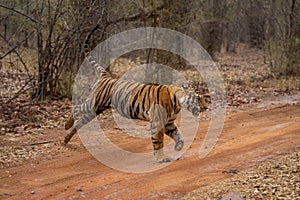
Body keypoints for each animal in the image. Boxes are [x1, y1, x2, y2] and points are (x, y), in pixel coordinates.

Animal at [64, 57, 207, 163]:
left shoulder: (168, 123)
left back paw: (66, 139)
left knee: (80, 122)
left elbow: (178, 134)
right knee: (77, 108)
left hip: (96, 110)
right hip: (94, 104)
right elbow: (158, 141)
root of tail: (106, 76)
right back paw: (66, 125)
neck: (178, 103)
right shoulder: (158, 122)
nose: (206, 107)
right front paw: (161, 158)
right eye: (198, 98)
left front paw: (179, 146)